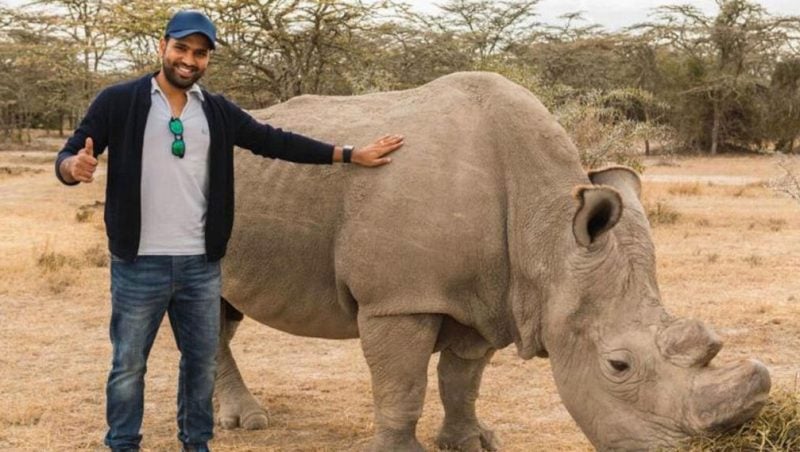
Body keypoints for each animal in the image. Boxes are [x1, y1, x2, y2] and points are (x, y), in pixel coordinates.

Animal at [214, 72, 771, 451]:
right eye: (618, 365)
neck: (547, 230)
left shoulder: (492, 294)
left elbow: (462, 379)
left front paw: (470, 442)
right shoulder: (398, 298)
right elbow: (403, 383)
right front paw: (402, 449)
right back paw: (246, 422)